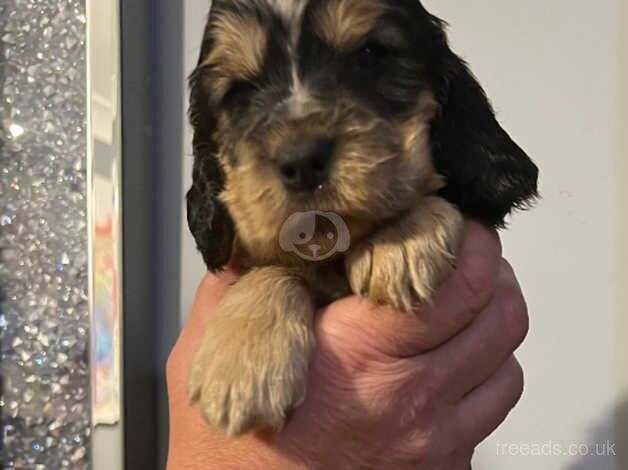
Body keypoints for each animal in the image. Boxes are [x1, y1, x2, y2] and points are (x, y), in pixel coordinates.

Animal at [184, 0, 536, 436]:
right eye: (239, 93)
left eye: (369, 54)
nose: (301, 160)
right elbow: (273, 267)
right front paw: (240, 367)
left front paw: (398, 241)